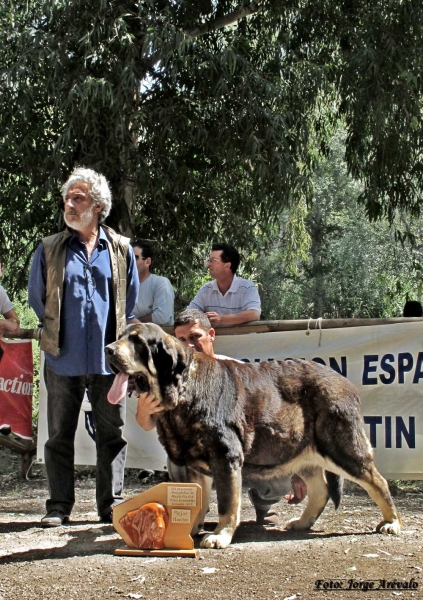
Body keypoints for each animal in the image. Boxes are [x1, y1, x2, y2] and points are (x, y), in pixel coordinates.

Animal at [105, 324, 400, 548]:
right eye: (121, 336)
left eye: (137, 341)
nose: (108, 349)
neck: (182, 390)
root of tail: (345, 382)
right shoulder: (194, 467)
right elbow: (198, 501)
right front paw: (189, 529)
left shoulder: (226, 457)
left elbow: (227, 502)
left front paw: (220, 536)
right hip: (306, 455)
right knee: (321, 490)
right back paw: (302, 522)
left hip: (343, 448)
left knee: (377, 482)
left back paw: (391, 522)